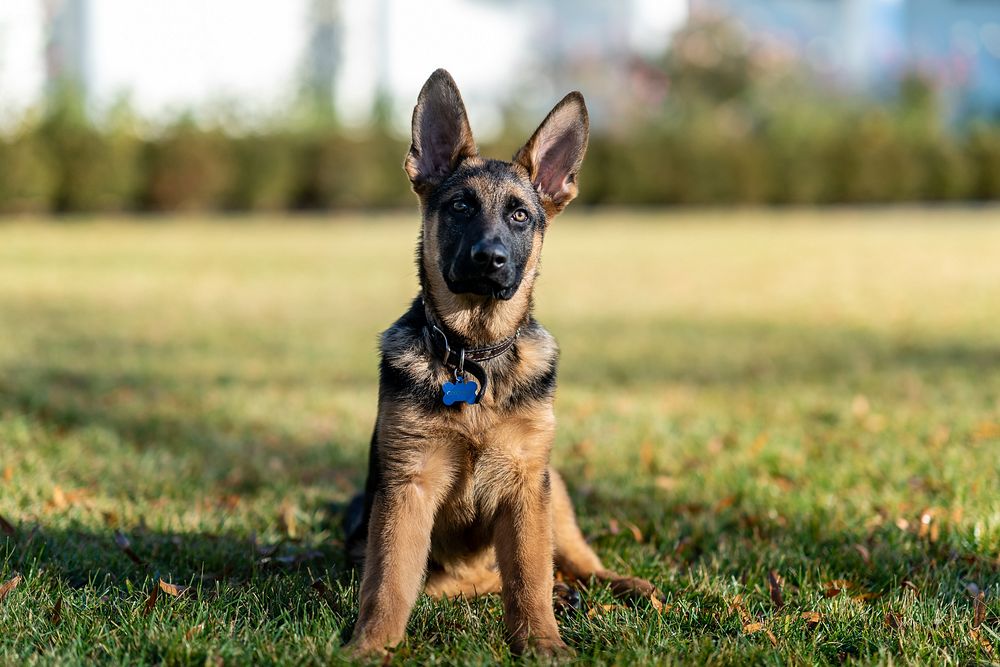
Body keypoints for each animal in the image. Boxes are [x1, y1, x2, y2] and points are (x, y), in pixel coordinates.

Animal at [344, 69, 656, 656]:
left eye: (519, 216)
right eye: (461, 207)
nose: (489, 260)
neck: (473, 357)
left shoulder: (525, 486)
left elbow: (528, 572)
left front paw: (541, 642)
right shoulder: (409, 486)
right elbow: (390, 580)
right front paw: (372, 645)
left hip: (555, 490)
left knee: (575, 563)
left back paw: (618, 585)